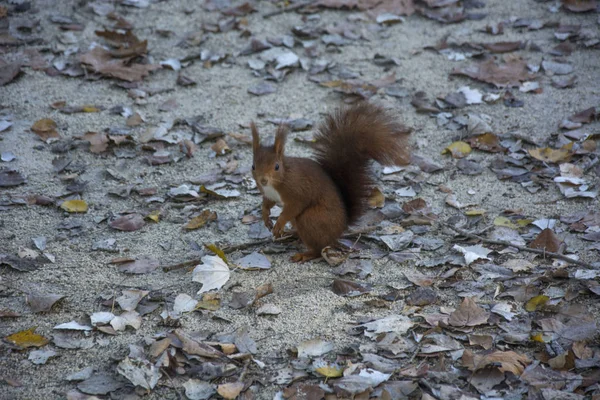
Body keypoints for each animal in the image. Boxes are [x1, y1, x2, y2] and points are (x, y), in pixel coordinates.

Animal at [251, 101, 410, 260]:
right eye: (253, 166)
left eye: (277, 167)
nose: (263, 180)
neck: (281, 179)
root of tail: (340, 229)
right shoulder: (269, 194)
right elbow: (267, 203)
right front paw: (265, 217)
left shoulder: (298, 189)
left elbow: (294, 206)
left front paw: (279, 223)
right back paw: (293, 234)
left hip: (310, 219)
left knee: (319, 247)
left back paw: (305, 254)